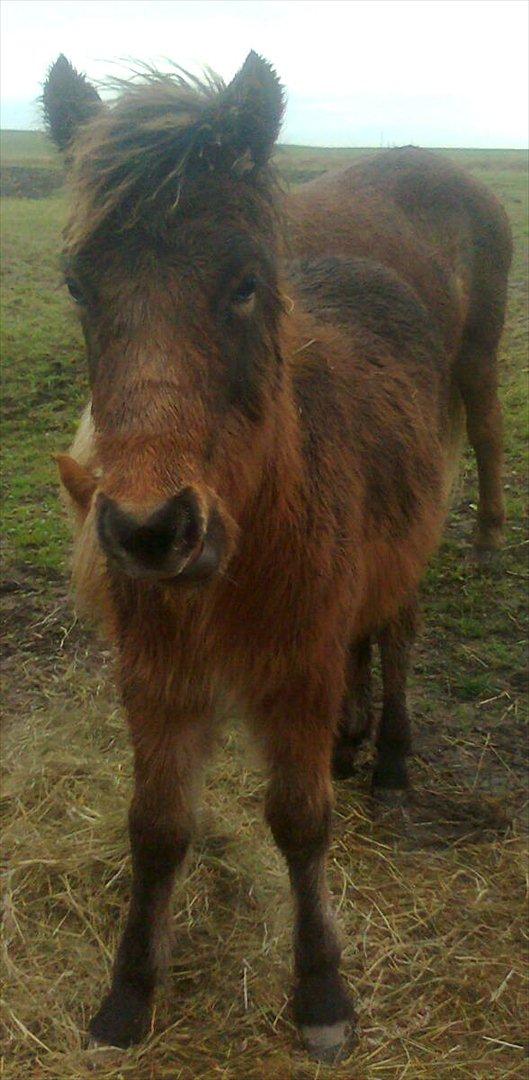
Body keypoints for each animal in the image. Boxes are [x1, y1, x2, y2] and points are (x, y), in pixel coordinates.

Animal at [44, 54, 507, 1058]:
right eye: (77, 286)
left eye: (245, 282)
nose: (150, 531)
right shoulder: (156, 680)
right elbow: (156, 829)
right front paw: (127, 995)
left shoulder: (294, 671)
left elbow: (298, 823)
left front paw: (322, 993)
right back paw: (354, 735)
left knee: (396, 635)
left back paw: (390, 757)